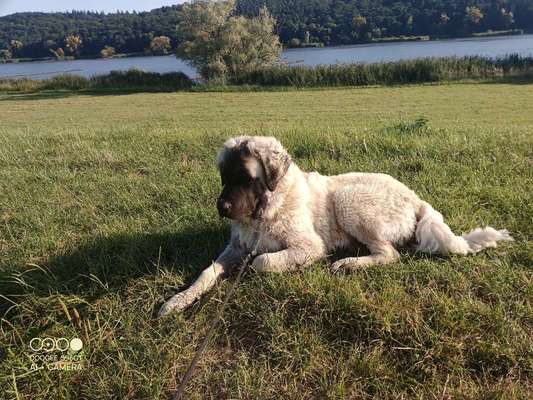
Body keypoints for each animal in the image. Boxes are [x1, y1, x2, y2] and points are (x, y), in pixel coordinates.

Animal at [158, 136, 512, 318]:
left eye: (246, 178)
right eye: (224, 177)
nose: (222, 208)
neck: (266, 210)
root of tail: (415, 198)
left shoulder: (307, 246)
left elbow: (261, 261)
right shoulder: (236, 247)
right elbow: (207, 272)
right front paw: (178, 300)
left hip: (348, 199)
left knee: (389, 254)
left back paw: (348, 263)